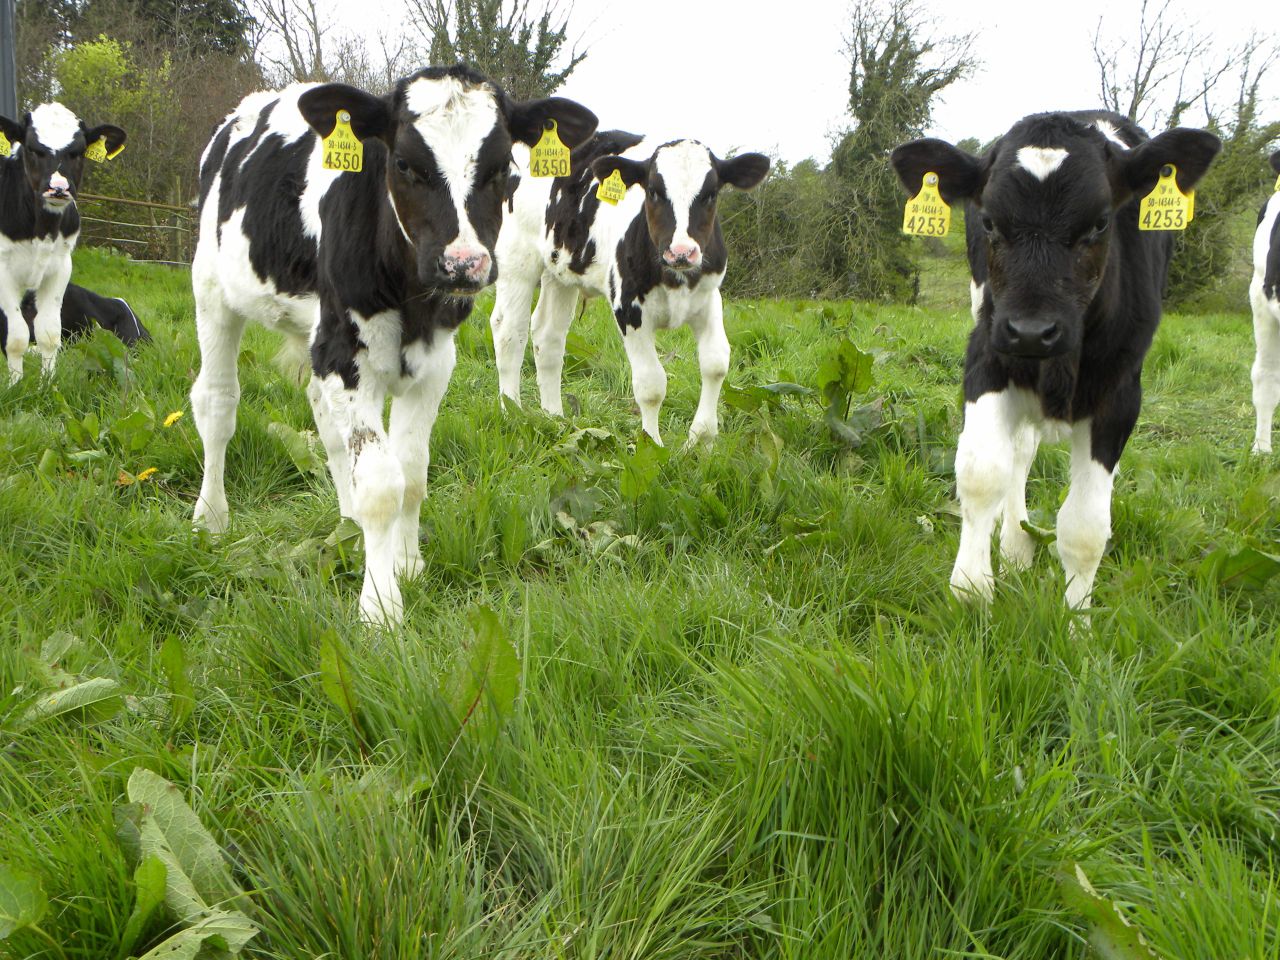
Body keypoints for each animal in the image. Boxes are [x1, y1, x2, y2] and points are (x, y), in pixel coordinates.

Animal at [0, 104, 126, 383]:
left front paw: (46, 385)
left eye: (77, 151)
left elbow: (48, 333)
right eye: (32, 148)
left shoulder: (60, 266)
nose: (58, 188)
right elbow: (16, 337)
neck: (42, 231)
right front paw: (15, 385)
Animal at [190, 65, 597, 625]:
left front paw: (405, 564)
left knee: (327, 425)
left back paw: (347, 523)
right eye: (404, 163)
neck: (410, 297)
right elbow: (383, 483)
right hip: (212, 290)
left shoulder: (434, 360)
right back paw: (210, 517)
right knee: (216, 404)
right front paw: (380, 607)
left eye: (503, 168)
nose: (462, 264)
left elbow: (412, 471)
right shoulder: (344, 353)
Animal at [490, 133, 770, 447]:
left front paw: (702, 441)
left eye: (710, 194)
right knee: (509, 332)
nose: (681, 252)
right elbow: (651, 384)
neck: (673, 278)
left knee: (548, 336)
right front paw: (653, 445)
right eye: (654, 192)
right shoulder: (629, 307)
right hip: (516, 259)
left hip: (559, 270)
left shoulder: (708, 299)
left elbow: (716, 363)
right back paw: (512, 413)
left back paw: (555, 418)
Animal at [892, 111, 1220, 611]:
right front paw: (971, 593)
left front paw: (1076, 620)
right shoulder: (986, 355)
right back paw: (1014, 549)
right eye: (988, 221)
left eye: (1100, 223)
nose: (1031, 330)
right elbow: (982, 473)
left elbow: (1085, 527)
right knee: (1019, 453)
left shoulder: (1121, 395)